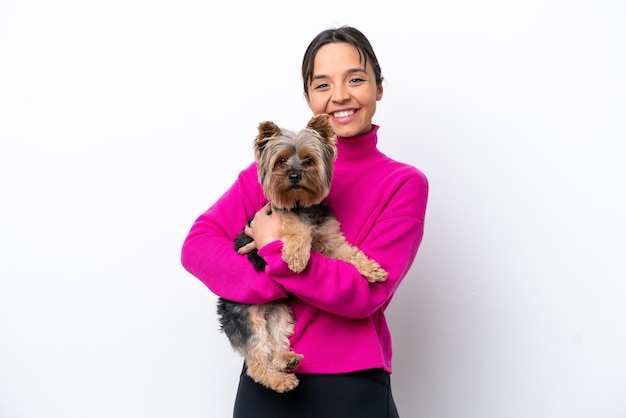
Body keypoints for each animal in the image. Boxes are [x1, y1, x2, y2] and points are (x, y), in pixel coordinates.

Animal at [217, 113, 388, 392]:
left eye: (309, 159)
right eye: (281, 160)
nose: (295, 175)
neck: (302, 205)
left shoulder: (332, 240)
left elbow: (350, 253)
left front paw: (372, 270)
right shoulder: (280, 217)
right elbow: (298, 230)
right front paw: (296, 258)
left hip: (281, 315)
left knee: (276, 342)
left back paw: (287, 360)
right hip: (248, 318)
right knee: (257, 360)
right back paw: (280, 380)